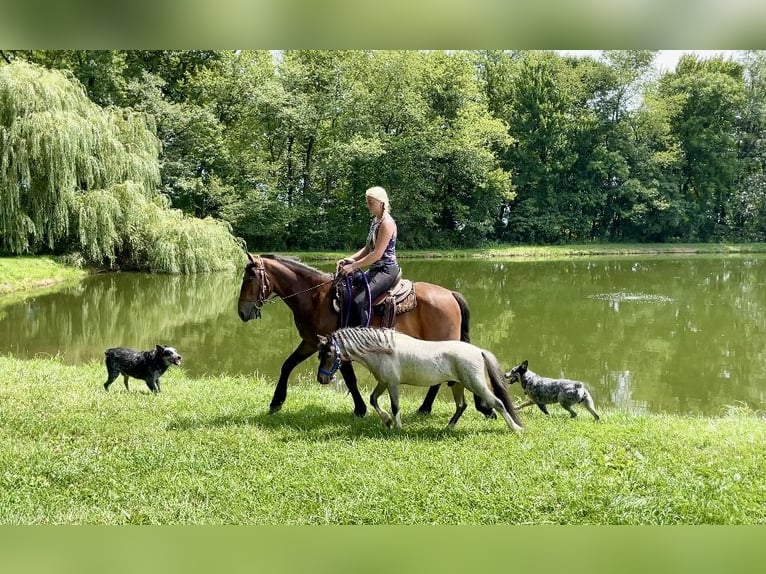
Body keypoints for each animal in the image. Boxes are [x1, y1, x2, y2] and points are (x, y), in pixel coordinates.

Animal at [237, 254, 496, 420]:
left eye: (249, 279)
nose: (241, 312)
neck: (316, 298)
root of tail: (450, 294)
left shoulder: (329, 345)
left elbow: (350, 379)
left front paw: (360, 409)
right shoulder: (310, 342)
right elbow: (287, 365)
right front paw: (276, 402)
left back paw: (430, 407)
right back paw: (428, 408)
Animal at [316, 328, 524, 432]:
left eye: (328, 354)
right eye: (320, 354)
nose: (321, 378)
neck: (382, 349)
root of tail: (479, 351)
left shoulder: (392, 384)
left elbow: (395, 406)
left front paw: (398, 427)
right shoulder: (382, 383)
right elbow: (373, 399)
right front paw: (387, 422)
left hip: (476, 385)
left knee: (497, 403)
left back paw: (516, 428)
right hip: (457, 385)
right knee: (461, 406)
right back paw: (447, 428)